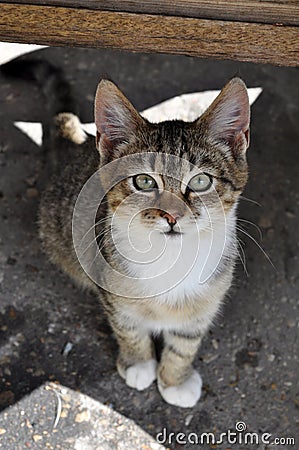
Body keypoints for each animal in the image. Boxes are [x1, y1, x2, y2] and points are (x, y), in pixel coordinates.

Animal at [3, 60, 251, 408]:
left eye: (201, 181)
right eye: (144, 182)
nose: (171, 215)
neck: (170, 258)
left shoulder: (210, 296)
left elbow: (187, 340)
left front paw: (174, 379)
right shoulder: (109, 287)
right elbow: (127, 327)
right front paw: (139, 363)